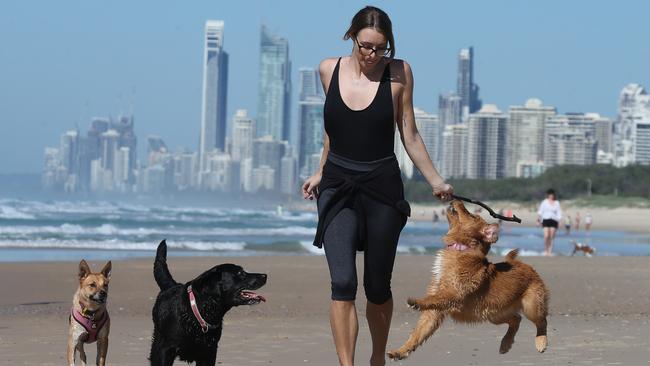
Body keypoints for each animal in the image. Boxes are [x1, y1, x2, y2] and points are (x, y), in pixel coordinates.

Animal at [388, 199, 548, 358]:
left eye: (472, 215)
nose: (456, 199)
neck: (461, 249)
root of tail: (524, 265)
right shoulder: (434, 312)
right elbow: (417, 334)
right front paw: (400, 351)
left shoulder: (454, 293)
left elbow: (434, 298)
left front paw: (417, 302)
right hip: (495, 314)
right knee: (516, 319)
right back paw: (506, 343)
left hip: (531, 307)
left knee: (541, 321)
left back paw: (541, 342)